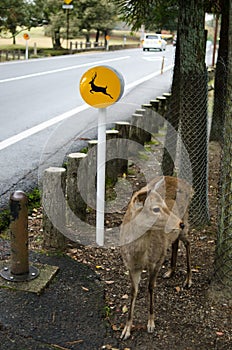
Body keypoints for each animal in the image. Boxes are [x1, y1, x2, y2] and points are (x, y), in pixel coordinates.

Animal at [119, 175, 194, 340]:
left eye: (165, 205)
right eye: (155, 209)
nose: (180, 223)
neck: (139, 255)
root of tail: (189, 187)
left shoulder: (157, 260)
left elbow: (150, 287)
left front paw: (151, 323)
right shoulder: (130, 265)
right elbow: (133, 291)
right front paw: (126, 329)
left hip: (185, 220)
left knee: (188, 243)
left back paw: (188, 280)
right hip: (175, 231)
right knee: (175, 242)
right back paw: (171, 271)